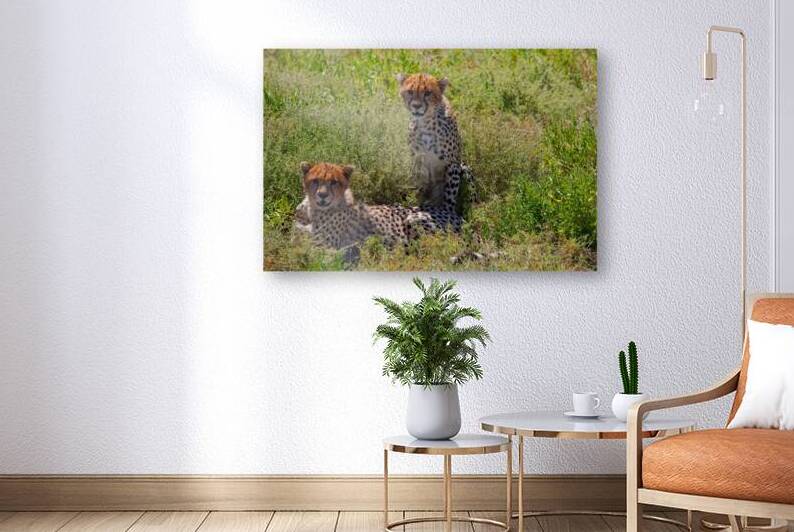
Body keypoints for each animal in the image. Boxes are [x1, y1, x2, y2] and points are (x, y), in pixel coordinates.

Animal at [299, 162, 461, 252]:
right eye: (315, 181)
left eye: (334, 182)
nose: (322, 195)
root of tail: (447, 209)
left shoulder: (327, 247)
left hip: (413, 220)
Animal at [396, 72, 476, 212]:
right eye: (410, 91)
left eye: (428, 93)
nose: (416, 106)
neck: (426, 123)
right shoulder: (417, 162)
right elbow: (419, 190)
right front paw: (417, 205)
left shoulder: (452, 163)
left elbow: (449, 195)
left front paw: (447, 212)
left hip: (464, 169)